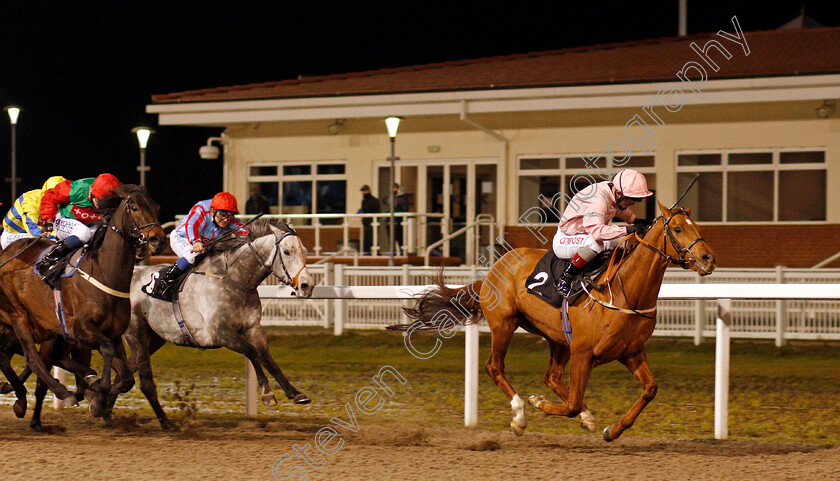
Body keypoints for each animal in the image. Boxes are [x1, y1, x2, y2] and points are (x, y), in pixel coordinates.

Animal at [0, 186, 165, 422]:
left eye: (155, 207)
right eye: (134, 207)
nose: (158, 239)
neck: (104, 273)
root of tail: (7, 253)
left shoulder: (113, 334)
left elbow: (126, 379)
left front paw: (96, 394)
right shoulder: (82, 330)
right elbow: (105, 352)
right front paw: (98, 390)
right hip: (18, 315)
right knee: (32, 359)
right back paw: (55, 394)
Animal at [128, 218, 316, 428]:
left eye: (305, 251)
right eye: (287, 252)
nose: (307, 285)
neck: (235, 281)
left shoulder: (253, 328)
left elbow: (268, 358)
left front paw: (295, 393)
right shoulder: (218, 332)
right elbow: (251, 351)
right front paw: (267, 394)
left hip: (155, 337)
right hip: (137, 333)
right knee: (144, 381)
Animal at [394, 201, 716, 440]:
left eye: (697, 227)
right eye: (677, 228)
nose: (708, 258)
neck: (625, 292)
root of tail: (491, 272)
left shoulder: (630, 351)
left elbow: (650, 389)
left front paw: (612, 429)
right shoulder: (584, 353)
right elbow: (571, 404)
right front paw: (538, 405)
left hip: (557, 337)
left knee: (552, 377)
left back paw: (582, 415)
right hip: (504, 325)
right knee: (495, 367)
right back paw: (520, 414)